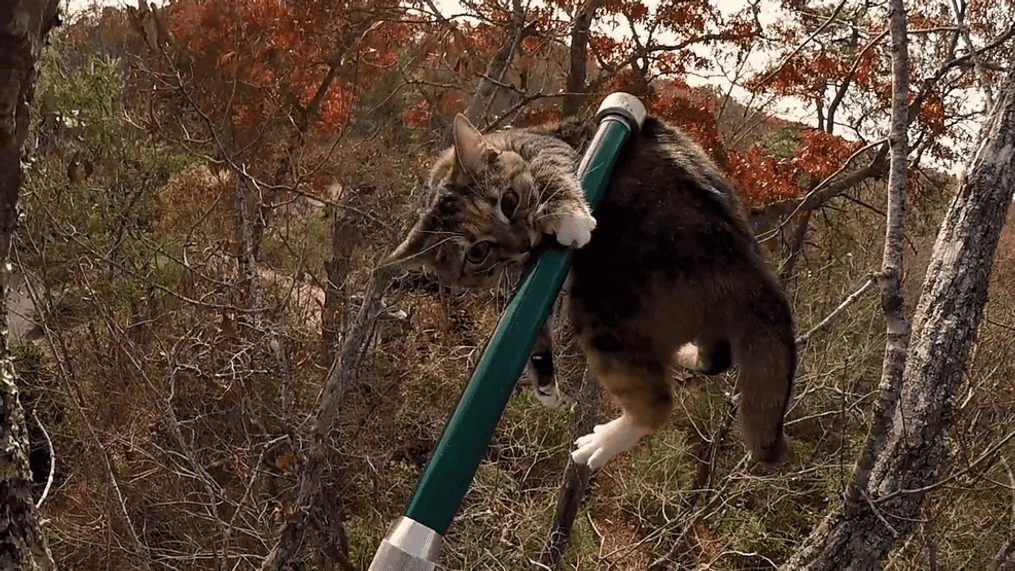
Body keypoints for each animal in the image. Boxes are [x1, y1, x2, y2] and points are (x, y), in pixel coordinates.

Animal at [383, 111, 795, 468]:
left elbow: (553, 172)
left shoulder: (550, 147)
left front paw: (569, 217)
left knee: (657, 405)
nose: (523, 244)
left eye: (509, 201)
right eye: (477, 253)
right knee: (715, 357)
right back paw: (687, 356)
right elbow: (536, 330)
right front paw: (543, 379)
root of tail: (753, 271)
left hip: (599, 308)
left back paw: (599, 444)